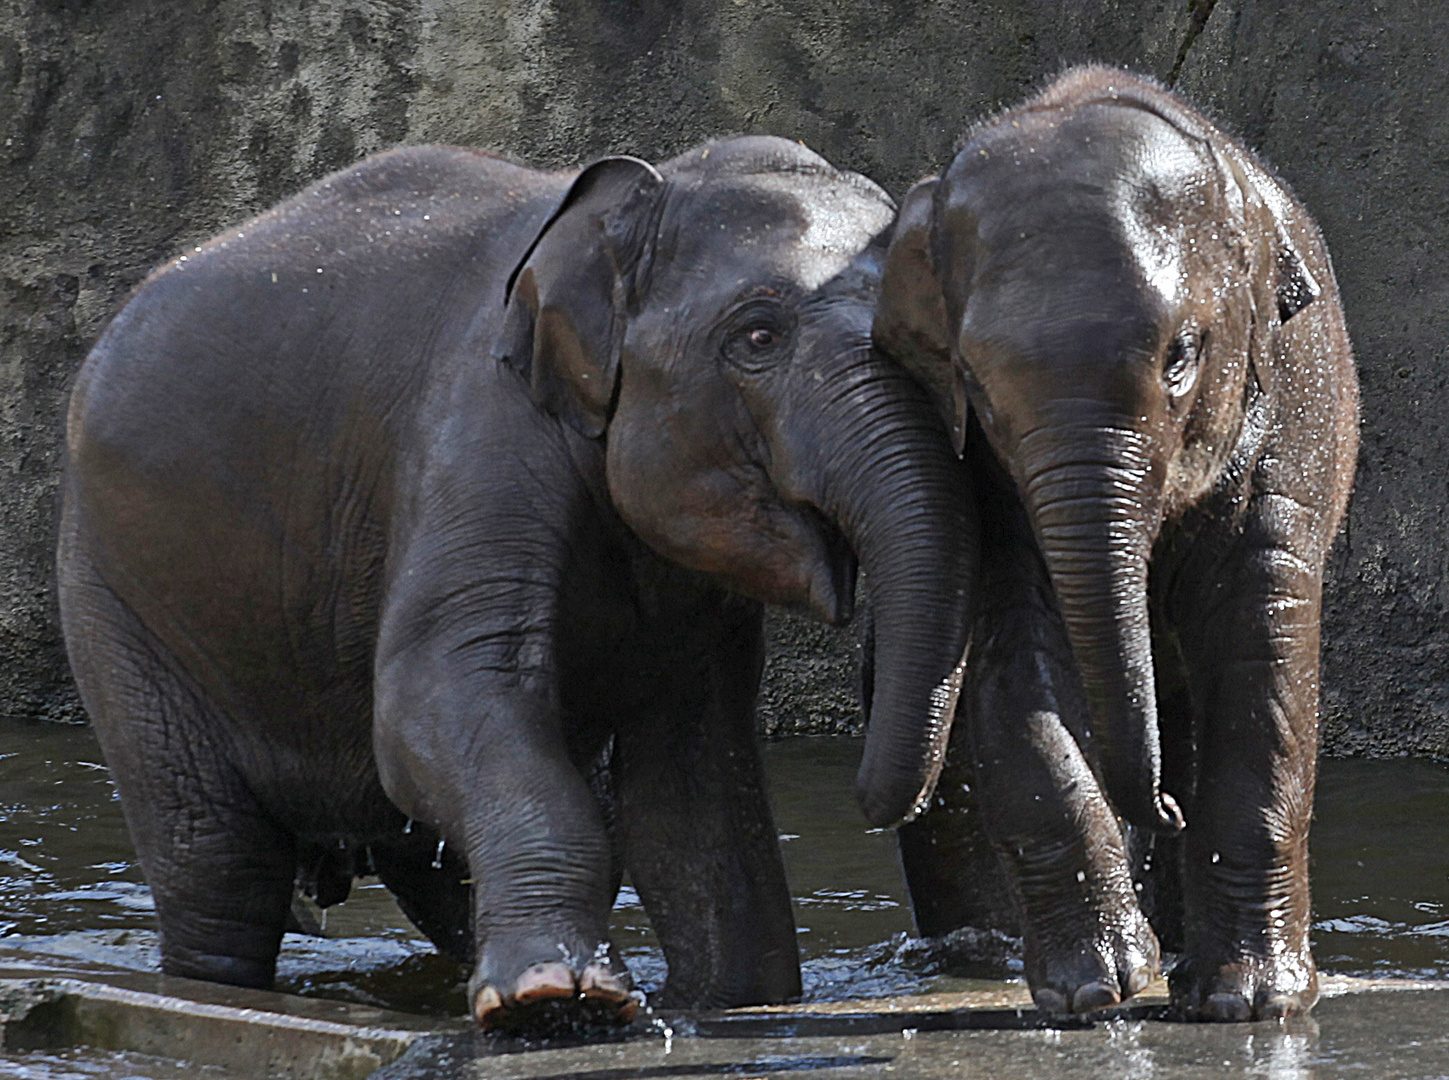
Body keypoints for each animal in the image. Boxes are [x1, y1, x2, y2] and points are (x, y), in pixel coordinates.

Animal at [62, 139, 979, 1032]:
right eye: (757, 337)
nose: (877, 806)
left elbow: (689, 779)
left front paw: (729, 1003)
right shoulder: (479, 429)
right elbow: (440, 694)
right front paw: (560, 999)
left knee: (434, 876)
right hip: (120, 607)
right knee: (217, 865)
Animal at [869, 67, 1356, 1020]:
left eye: (1181, 357)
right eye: (972, 380)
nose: (1163, 806)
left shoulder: (1290, 410)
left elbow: (1260, 644)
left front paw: (1251, 1002)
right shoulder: (984, 471)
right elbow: (1018, 650)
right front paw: (1090, 991)